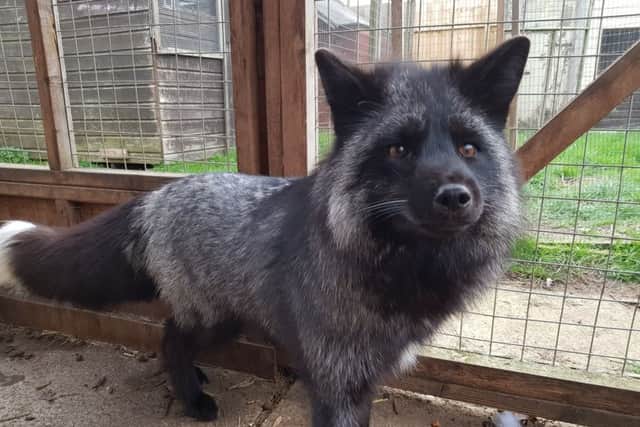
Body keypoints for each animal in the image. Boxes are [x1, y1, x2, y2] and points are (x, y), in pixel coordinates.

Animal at [0, 36, 529, 426]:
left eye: (468, 149)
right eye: (398, 150)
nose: (455, 197)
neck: (398, 267)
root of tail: (160, 193)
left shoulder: (366, 379)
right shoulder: (337, 383)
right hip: (213, 316)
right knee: (170, 337)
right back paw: (193, 400)